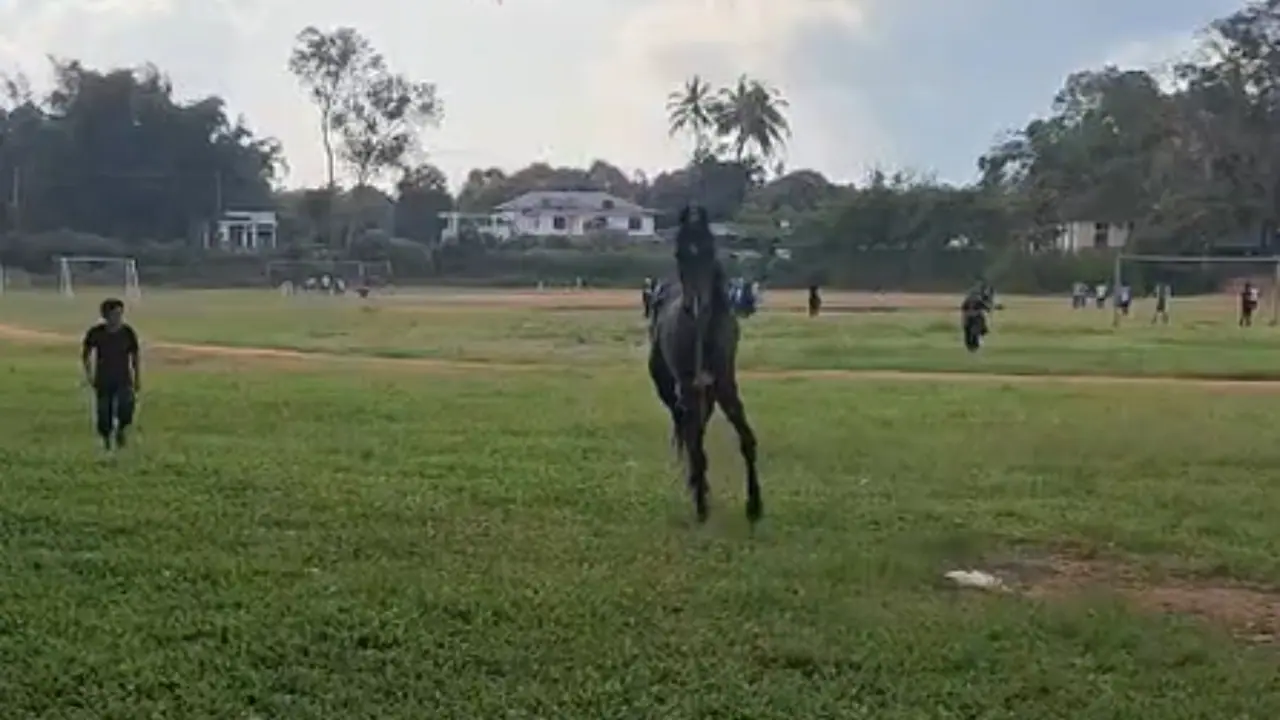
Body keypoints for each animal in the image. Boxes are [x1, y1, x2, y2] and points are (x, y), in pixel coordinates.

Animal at [648, 206, 761, 524]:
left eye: (710, 250)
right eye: (679, 253)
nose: (696, 307)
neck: (703, 332)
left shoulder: (724, 386)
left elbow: (747, 439)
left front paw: (755, 507)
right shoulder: (689, 387)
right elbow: (695, 444)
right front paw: (701, 506)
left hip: (706, 394)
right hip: (668, 385)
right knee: (687, 430)